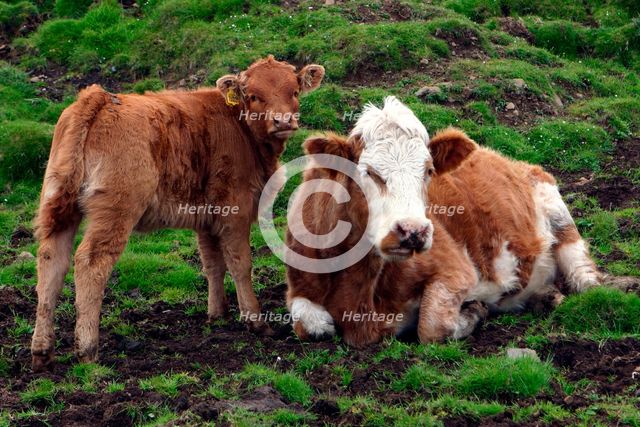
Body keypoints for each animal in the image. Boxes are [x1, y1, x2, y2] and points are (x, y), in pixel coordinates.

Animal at [30, 55, 324, 369]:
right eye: (254, 96)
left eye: (294, 91)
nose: (283, 121)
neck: (239, 127)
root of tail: (100, 98)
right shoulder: (236, 210)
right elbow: (240, 263)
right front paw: (255, 320)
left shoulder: (207, 216)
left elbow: (213, 264)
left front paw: (217, 314)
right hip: (115, 211)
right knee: (90, 263)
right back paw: (87, 349)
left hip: (59, 206)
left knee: (51, 259)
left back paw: (42, 349)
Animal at [285, 96, 600, 347]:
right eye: (370, 172)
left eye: (428, 170)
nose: (413, 231)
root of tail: (506, 159)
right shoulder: (300, 286)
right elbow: (308, 324)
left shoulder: (456, 269)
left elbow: (432, 326)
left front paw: (474, 311)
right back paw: (544, 297)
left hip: (555, 207)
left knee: (582, 273)